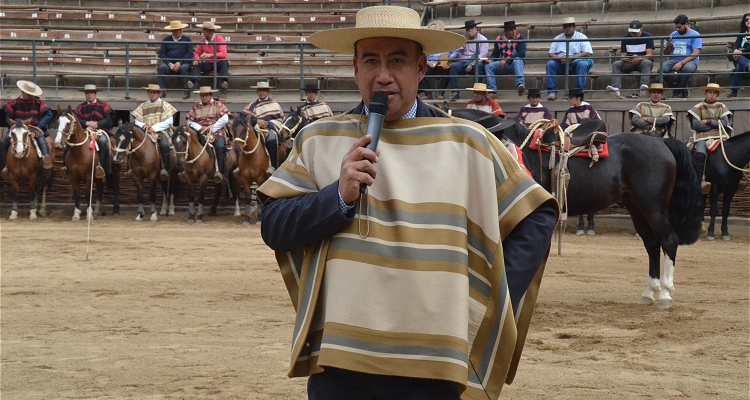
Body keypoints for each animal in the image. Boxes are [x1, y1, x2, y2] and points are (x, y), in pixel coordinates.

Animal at [456, 107, 708, 310]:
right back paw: (649, 293)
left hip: (653, 207)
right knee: (652, 244)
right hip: (636, 207)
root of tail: (660, 142)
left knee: (668, 240)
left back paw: (664, 294)